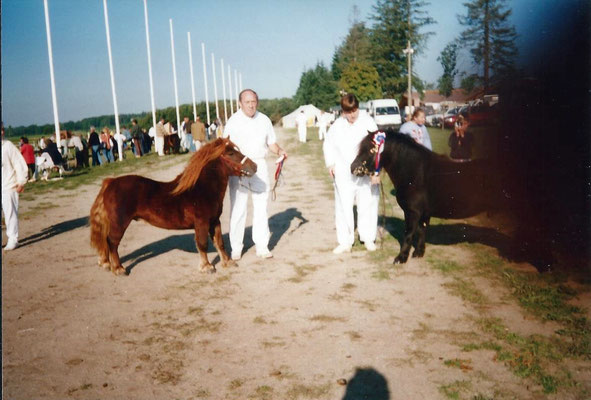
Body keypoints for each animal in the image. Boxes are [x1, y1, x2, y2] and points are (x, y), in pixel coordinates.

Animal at [89, 138, 256, 276]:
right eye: (230, 153)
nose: (255, 166)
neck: (202, 188)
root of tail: (110, 182)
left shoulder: (215, 221)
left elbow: (219, 242)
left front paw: (227, 262)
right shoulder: (201, 223)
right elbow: (202, 244)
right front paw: (207, 267)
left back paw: (106, 263)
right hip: (119, 223)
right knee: (112, 242)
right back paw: (118, 268)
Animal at [354, 130, 498, 264]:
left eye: (371, 150)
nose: (353, 168)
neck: (415, 172)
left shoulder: (412, 212)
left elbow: (408, 233)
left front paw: (401, 258)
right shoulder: (423, 213)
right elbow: (421, 230)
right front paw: (418, 252)